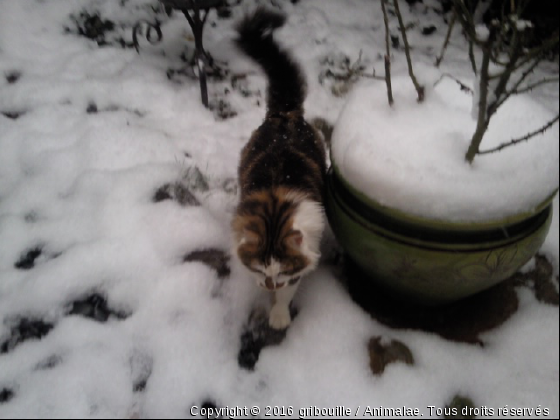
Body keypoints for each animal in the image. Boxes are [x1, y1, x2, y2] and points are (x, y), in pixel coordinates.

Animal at [233, 5, 328, 328]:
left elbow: (288, 293)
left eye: (282, 272)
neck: (274, 209)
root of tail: (285, 114)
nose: (268, 284)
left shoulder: (302, 261)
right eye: (262, 271)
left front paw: (278, 314)